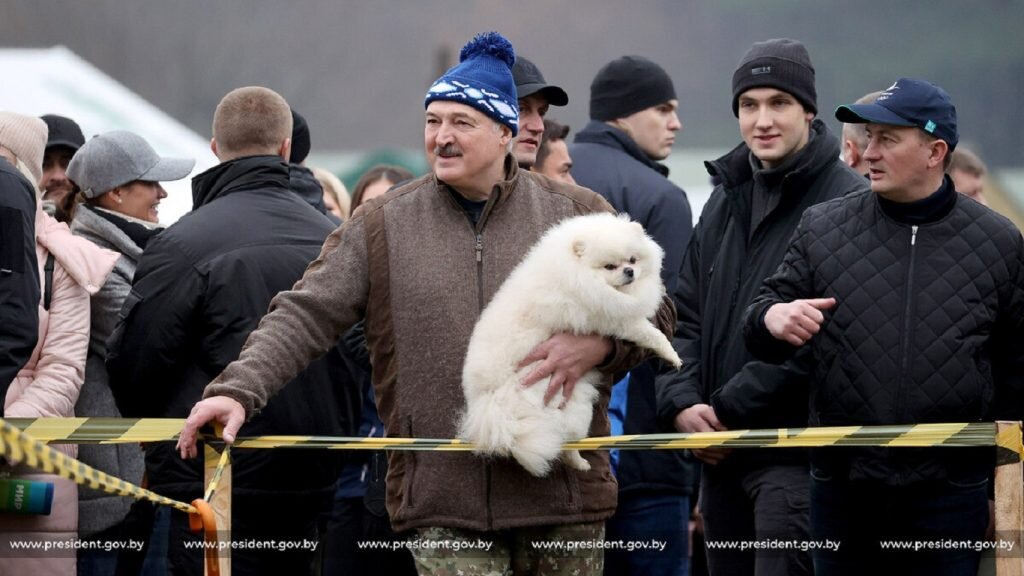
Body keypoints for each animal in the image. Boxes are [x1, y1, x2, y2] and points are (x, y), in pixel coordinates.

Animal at [460, 211, 684, 475]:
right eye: (610, 266)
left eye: (633, 259)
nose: (629, 271)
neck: (579, 274)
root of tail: (490, 404)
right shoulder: (613, 319)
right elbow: (651, 334)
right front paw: (672, 356)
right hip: (563, 398)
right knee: (566, 441)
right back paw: (578, 462)